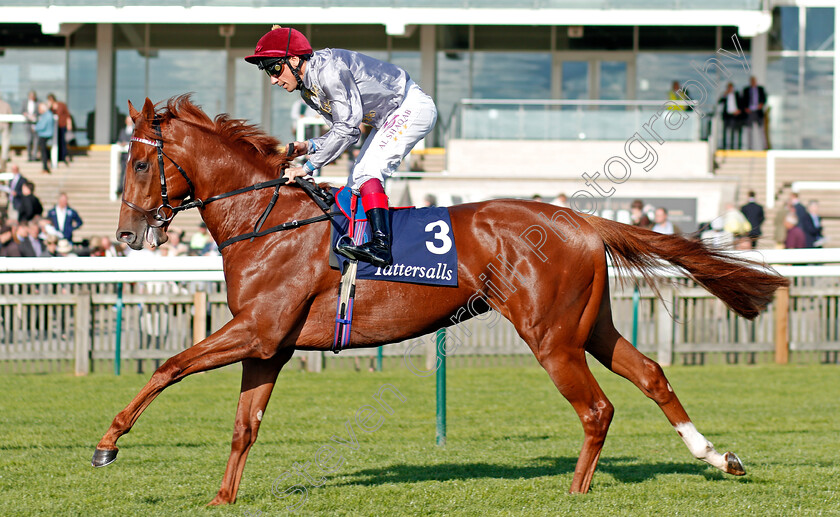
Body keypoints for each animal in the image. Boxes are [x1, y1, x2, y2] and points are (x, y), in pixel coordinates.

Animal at [95, 95, 792, 504]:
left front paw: (108, 442)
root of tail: (580, 219)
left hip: (549, 335)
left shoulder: (257, 329)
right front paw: (223, 498)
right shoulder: (270, 346)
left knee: (597, 409)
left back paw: (575, 490)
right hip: (588, 326)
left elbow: (169, 365)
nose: (125, 234)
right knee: (650, 374)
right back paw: (717, 457)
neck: (266, 220)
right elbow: (245, 424)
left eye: (138, 164)